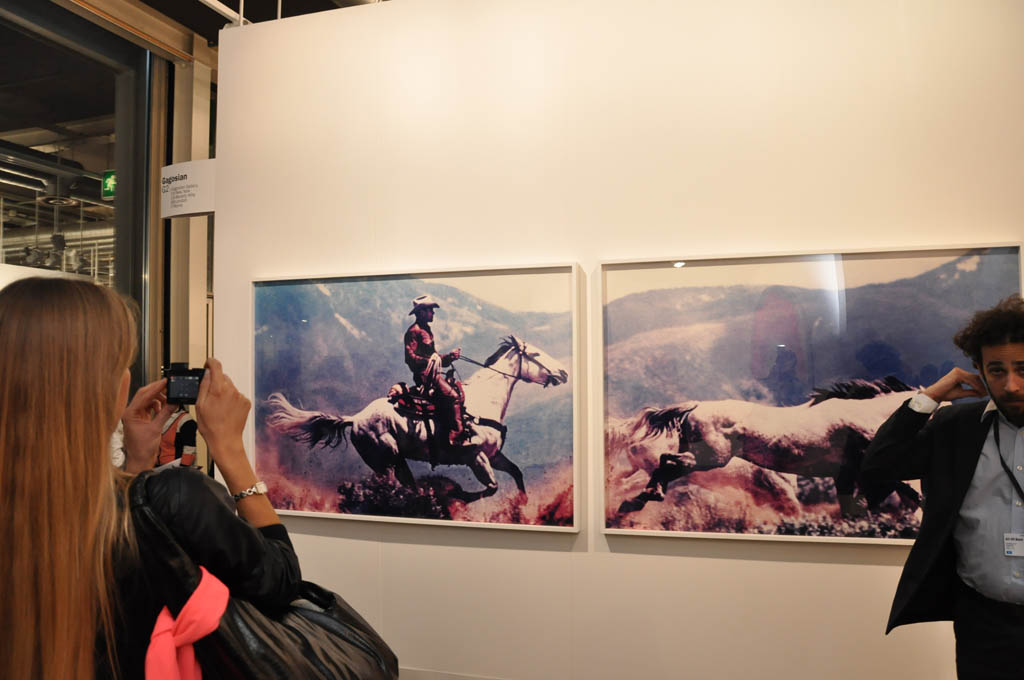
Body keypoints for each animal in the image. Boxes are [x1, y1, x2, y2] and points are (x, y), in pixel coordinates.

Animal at [265, 335, 569, 502]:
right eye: (536, 354)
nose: (564, 372)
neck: (484, 403)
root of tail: (356, 418)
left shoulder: (493, 456)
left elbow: (516, 473)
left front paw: (522, 505)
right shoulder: (477, 458)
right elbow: (491, 488)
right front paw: (456, 494)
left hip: (395, 462)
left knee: (407, 487)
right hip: (386, 461)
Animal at [615, 376, 922, 515]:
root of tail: (696, 406)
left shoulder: (846, 475)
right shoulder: (871, 471)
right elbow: (906, 495)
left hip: (700, 457)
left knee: (667, 464)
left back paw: (637, 500)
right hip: (710, 457)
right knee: (666, 462)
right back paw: (641, 499)